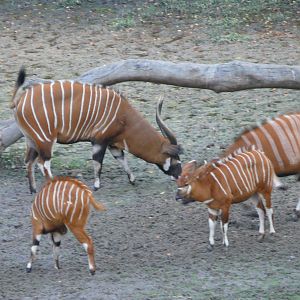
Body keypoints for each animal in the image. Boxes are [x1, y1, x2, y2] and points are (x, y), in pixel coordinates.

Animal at [10, 68, 182, 192]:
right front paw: (96, 186)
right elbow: (98, 162)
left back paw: (33, 190)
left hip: (32, 141)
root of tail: (20, 101)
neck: (124, 115)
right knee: (43, 163)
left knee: (29, 162)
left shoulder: (113, 143)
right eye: (175, 159)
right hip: (45, 140)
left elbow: (121, 159)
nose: (179, 175)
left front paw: (132, 180)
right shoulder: (99, 140)